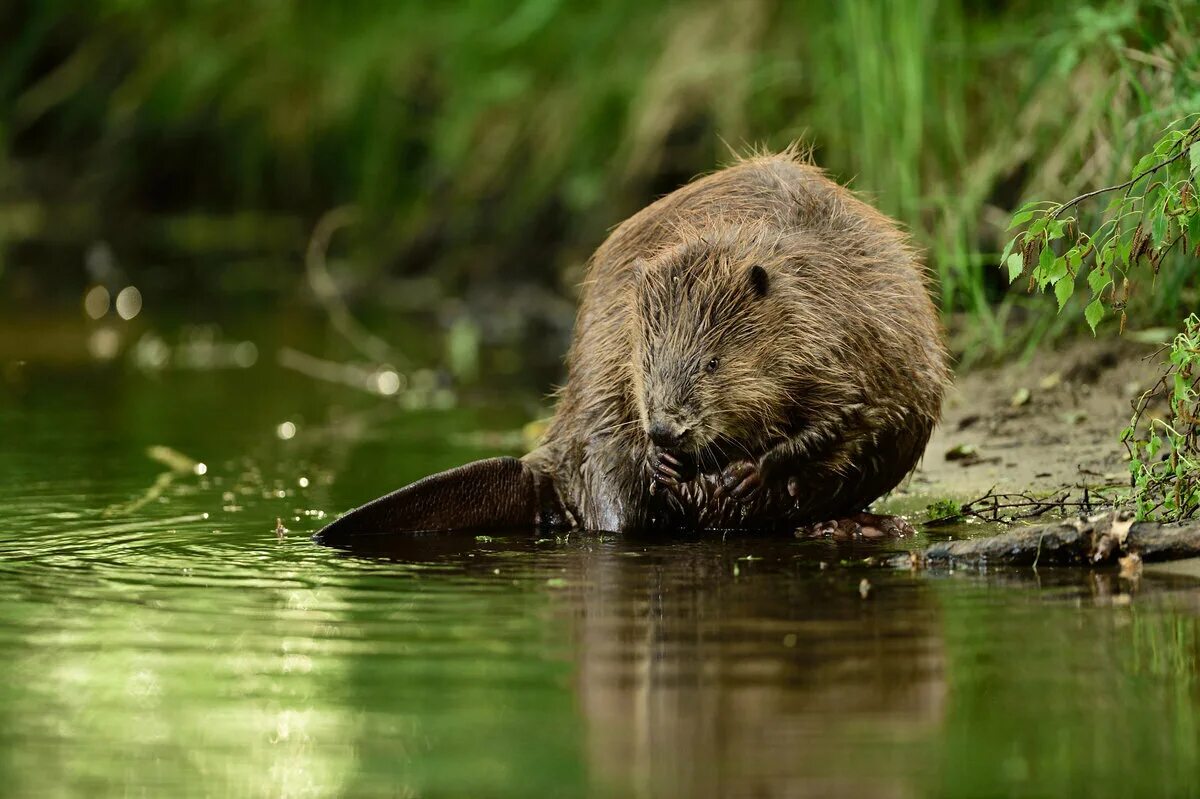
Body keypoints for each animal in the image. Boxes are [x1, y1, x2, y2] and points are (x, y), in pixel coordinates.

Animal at [314, 151, 950, 542]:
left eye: (713, 362)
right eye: (648, 363)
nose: (666, 430)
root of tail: (538, 465)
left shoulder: (850, 329)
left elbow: (851, 413)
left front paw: (748, 475)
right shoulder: (620, 338)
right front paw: (669, 465)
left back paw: (853, 525)